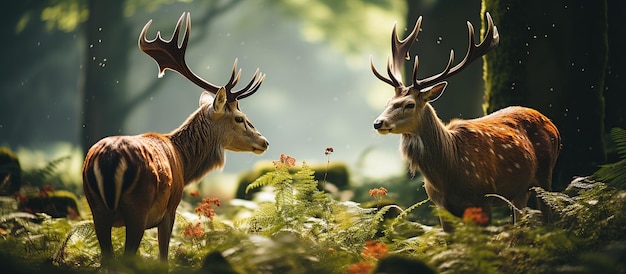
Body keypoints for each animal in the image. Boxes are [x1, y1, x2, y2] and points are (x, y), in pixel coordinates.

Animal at [83, 13, 268, 264]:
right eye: (240, 118)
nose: (264, 141)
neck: (183, 161)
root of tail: (109, 159)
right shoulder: (170, 209)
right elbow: (163, 255)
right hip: (137, 207)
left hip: (96, 208)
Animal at [368, 12, 560, 231]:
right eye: (388, 102)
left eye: (409, 104)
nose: (378, 123)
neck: (449, 174)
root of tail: (552, 124)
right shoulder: (440, 205)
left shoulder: (483, 198)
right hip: (519, 191)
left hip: (545, 175)